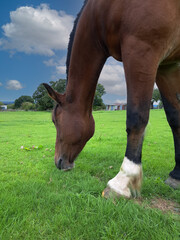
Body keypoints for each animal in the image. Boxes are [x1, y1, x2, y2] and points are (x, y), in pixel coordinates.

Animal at [43, 0, 180, 198]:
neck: (103, 11)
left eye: (55, 121)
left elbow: (136, 117)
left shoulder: (142, 52)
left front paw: (122, 181)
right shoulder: (167, 65)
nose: (58, 162)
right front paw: (176, 175)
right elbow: (174, 117)